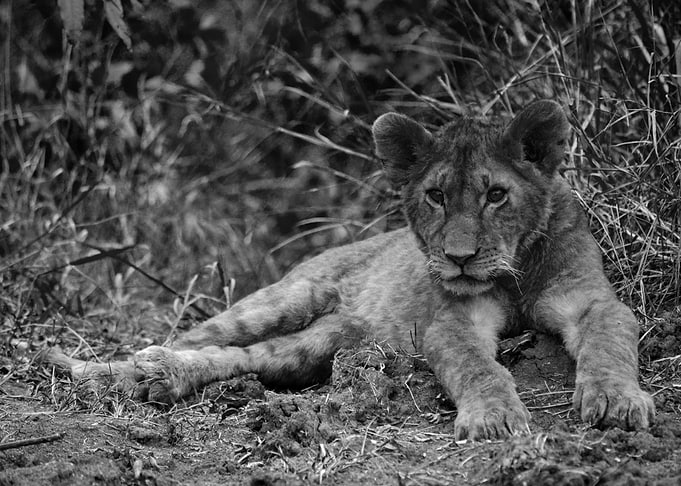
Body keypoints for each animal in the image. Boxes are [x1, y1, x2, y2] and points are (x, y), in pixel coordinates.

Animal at [45, 100, 655, 440]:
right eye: (436, 196)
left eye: (497, 195)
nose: (458, 257)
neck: (513, 272)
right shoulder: (453, 320)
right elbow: (480, 368)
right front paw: (494, 418)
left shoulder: (591, 299)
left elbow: (610, 343)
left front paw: (618, 402)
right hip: (283, 299)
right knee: (193, 337)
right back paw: (106, 371)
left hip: (320, 346)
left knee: (243, 359)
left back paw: (162, 378)